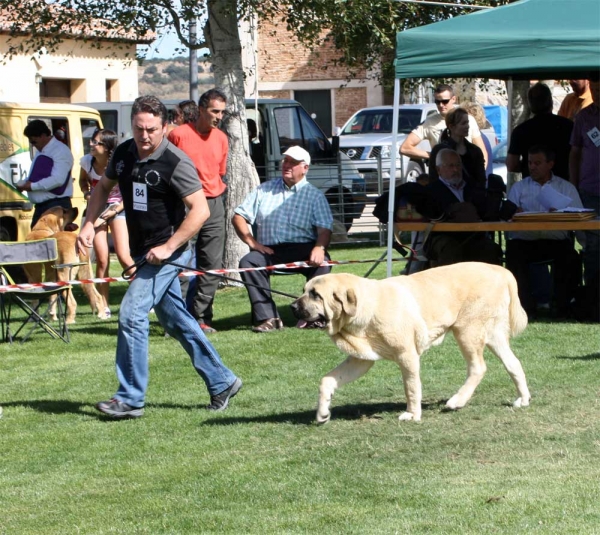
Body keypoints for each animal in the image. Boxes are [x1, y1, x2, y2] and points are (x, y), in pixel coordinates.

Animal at [290, 262, 528, 426]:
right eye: (304, 290)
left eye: (316, 295)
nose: (293, 307)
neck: (368, 307)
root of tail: (499, 269)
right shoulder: (360, 360)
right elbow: (327, 380)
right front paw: (322, 413)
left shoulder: (407, 354)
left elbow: (411, 387)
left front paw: (413, 414)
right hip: (493, 336)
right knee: (514, 364)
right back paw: (523, 399)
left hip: (467, 330)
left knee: (478, 367)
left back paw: (457, 401)